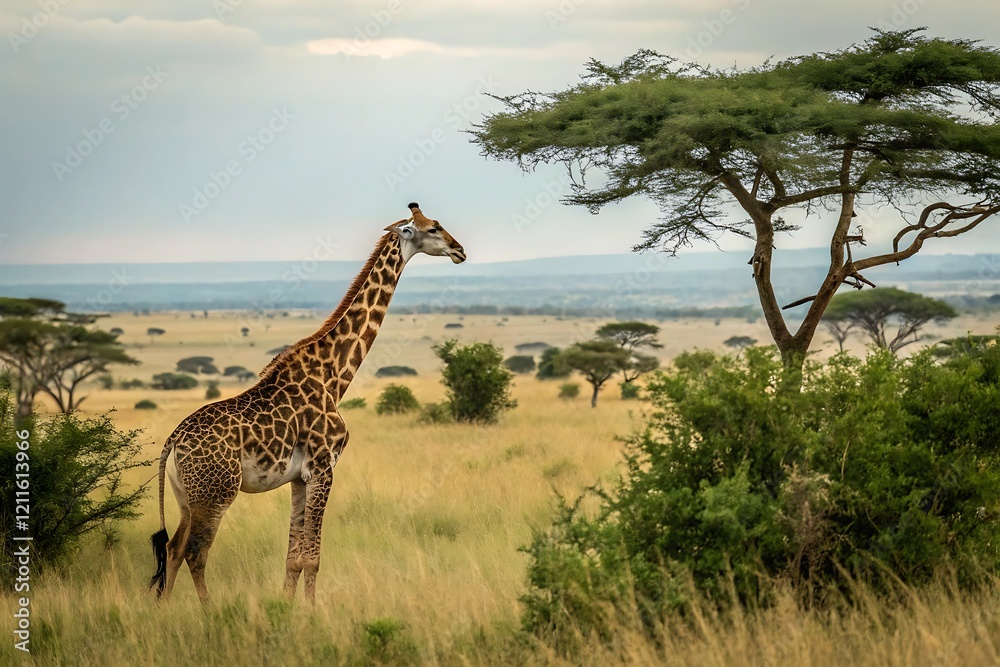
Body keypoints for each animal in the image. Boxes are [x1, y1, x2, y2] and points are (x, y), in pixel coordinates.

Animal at [149, 203, 465, 604]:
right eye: (433, 228)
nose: (460, 250)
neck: (334, 375)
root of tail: (172, 442)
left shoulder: (299, 478)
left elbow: (293, 558)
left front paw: (287, 608)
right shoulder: (324, 466)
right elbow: (312, 557)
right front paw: (314, 612)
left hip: (185, 497)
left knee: (172, 548)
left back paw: (164, 609)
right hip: (215, 494)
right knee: (195, 552)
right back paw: (208, 611)